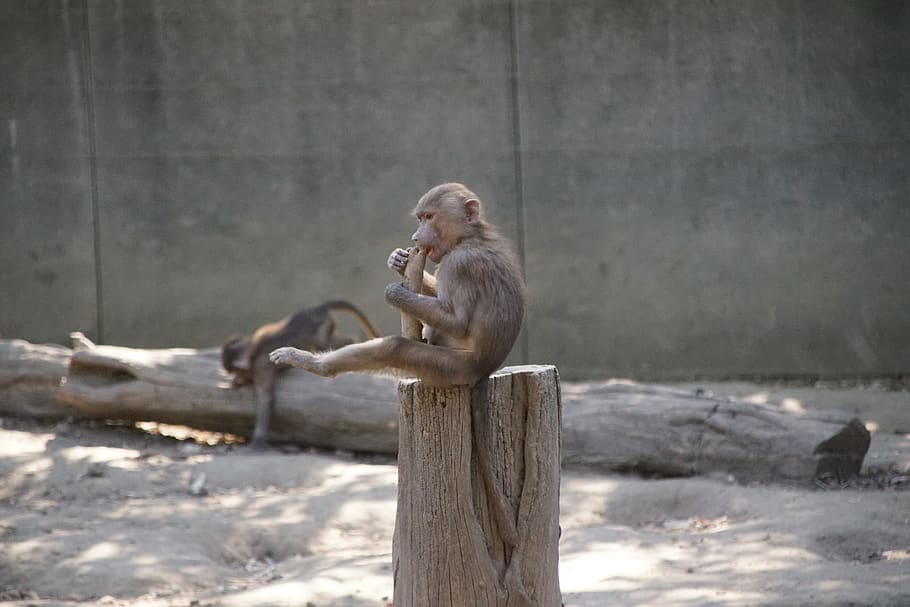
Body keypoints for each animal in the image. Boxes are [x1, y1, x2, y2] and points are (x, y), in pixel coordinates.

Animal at [222, 299, 380, 449]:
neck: (252, 350)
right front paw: (235, 382)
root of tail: (316, 308)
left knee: (323, 342)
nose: (237, 376)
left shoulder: (262, 366)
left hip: (323, 326)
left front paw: (258, 439)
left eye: (234, 370)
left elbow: (265, 399)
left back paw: (350, 341)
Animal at [269, 183, 527, 569]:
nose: (416, 238)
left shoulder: (460, 264)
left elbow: (458, 322)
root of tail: (485, 371)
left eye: (430, 216)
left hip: (450, 368)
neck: (471, 236)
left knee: (396, 347)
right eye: (420, 218)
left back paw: (315, 365)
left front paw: (396, 292)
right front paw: (401, 262)